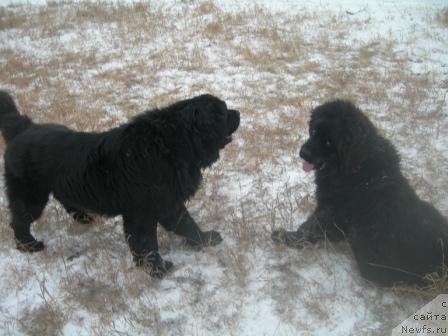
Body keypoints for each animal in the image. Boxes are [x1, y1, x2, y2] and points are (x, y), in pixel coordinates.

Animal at [0, 92, 240, 278]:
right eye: (223, 113)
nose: (238, 113)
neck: (173, 143)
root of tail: (24, 128)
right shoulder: (143, 213)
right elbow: (146, 242)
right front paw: (157, 269)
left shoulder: (168, 203)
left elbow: (186, 224)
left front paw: (205, 239)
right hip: (30, 196)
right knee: (19, 221)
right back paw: (29, 246)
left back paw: (84, 218)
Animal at [272, 100, 448, 286]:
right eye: (313, 132)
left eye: (328, 142)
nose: (303, 153)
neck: (353, 164)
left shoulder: (332, 209)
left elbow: (309, 227)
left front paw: (285, 237)